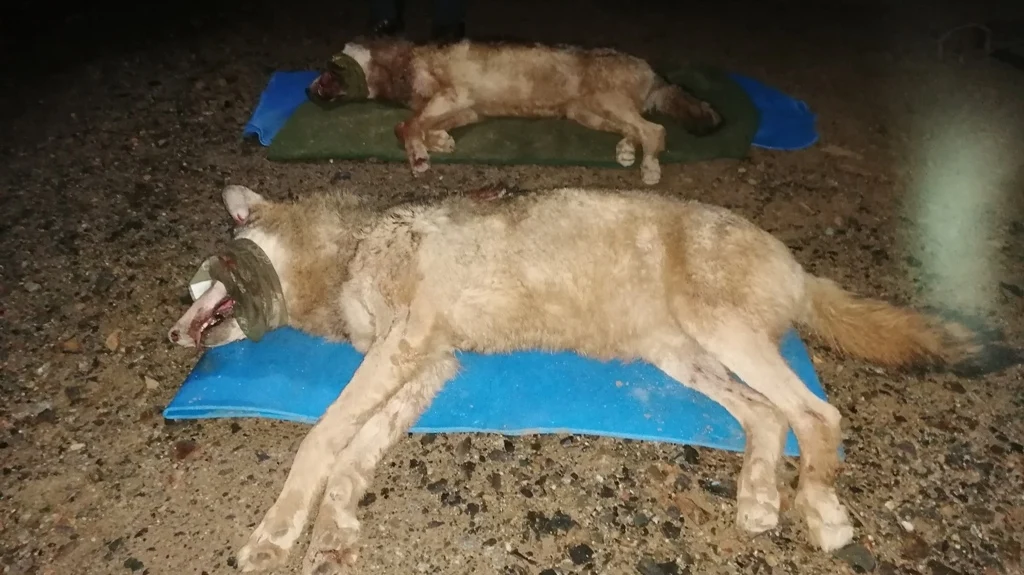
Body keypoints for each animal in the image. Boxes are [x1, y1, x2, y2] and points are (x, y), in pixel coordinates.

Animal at [168, 184, 1011, 574]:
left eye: (200, 283)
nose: (171, 333)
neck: (348, 246)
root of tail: (802, 267)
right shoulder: (426, 365)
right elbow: (351, 454)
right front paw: (335, 531)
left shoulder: (403, 349)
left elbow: (317, 439)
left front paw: (277, 531)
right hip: (684, 357)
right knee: (770, 417)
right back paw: (758, 498)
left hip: (719, 334)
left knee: (819, 413)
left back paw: (823, 510)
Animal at [306, 38, 723, 186]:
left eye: (324, 75)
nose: (306, 92)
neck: (396, 62)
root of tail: (653, 69)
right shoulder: (467, 110)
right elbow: (419, 124)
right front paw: (438, 140)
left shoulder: (454, 96)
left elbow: (405, 126)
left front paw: (420, 154)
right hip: (587, 112)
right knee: (637, 128)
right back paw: (625, 150)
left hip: (606, 102)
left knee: (655, 131)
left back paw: (649, 167)